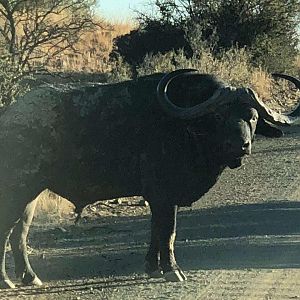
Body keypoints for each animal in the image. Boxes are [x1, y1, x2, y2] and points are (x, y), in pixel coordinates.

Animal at [0, 68, 300, 288]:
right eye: (218, 116)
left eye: (252, 117)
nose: (241, 145)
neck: (186, 129)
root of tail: (9, 117)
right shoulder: (164, 195)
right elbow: (168, 232)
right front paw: (172, 270)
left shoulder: (159, 199)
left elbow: (156, 232)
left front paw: (153, 268)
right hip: (18, 190)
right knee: (7, 231)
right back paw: (8, 281)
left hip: (31, 196)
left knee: (20, 234)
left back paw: (30, 277)